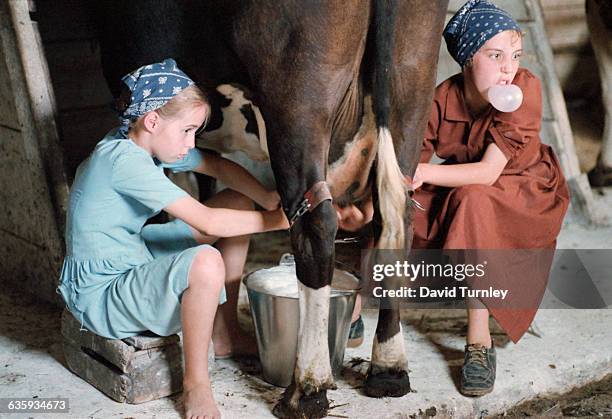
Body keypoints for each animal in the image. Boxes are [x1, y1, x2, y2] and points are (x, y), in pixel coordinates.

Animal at [89, 1, 444, 418]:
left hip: (296, 98)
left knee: (315, 224)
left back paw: (306, 390)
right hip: (411, 80)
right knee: (397, 217)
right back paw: (389, 369)